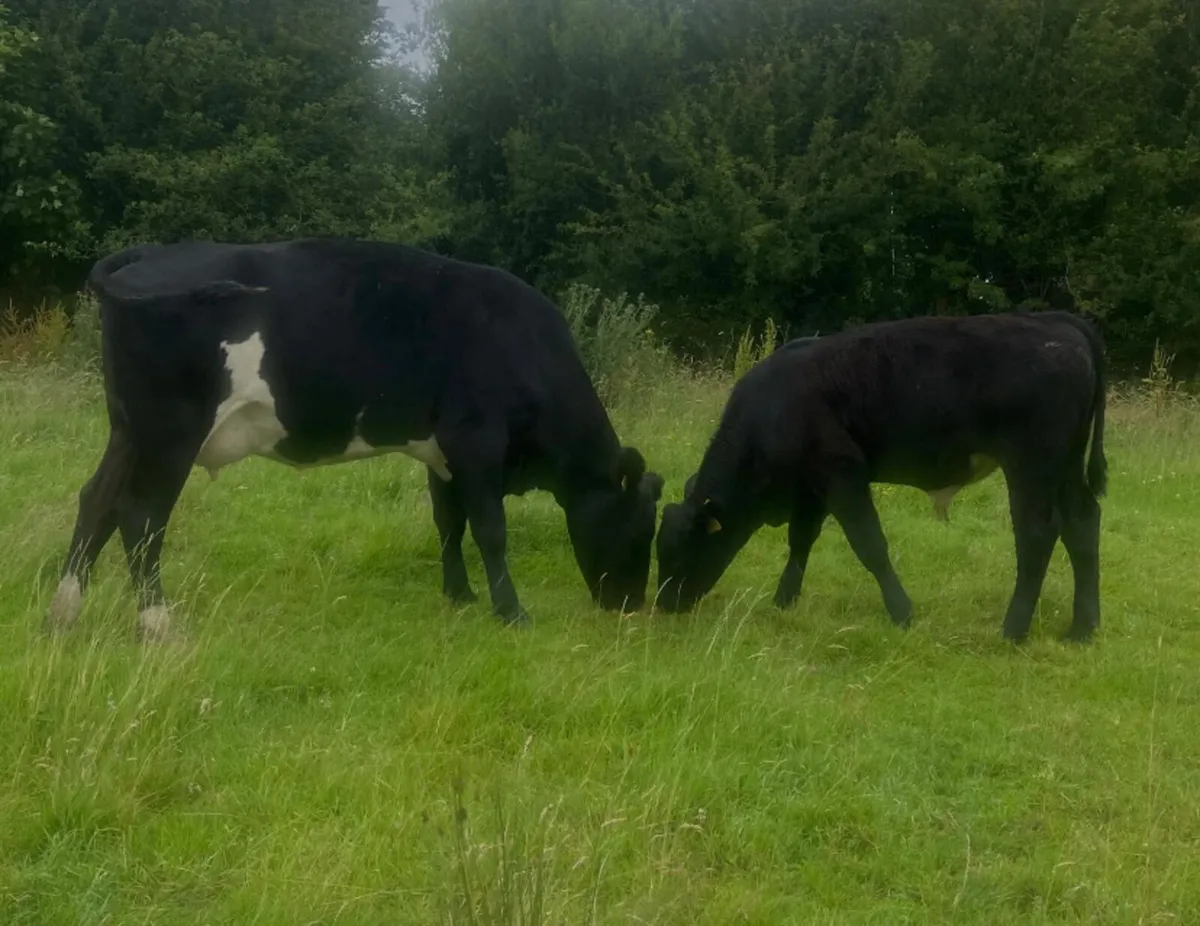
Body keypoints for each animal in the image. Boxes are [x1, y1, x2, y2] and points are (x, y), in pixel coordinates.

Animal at [43, 238, 665, 641]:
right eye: (639, 529)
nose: (632, 606)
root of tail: (148, 254)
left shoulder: (440, 453)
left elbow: (449, 523)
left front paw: (459, 595)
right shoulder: (477, 443)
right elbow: (490, 530)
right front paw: (511, 612)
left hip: (129, 429)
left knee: (95, 501)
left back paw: (64, 614)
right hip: (170, 432)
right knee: (141, 515)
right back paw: (157, 624)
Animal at [655, 311, 1108, 643]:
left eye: (677, 551)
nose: (663, 604)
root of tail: (1054, 320)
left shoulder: (841, 472)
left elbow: (869, 543)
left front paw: (902, 612)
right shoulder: (811, 487)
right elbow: (800, 541)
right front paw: (784, 599)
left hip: (1033, 465)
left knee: (1037, 534)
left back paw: (1013, 629)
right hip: (1065, 466)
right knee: (1081, 524)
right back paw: (1082, 629)